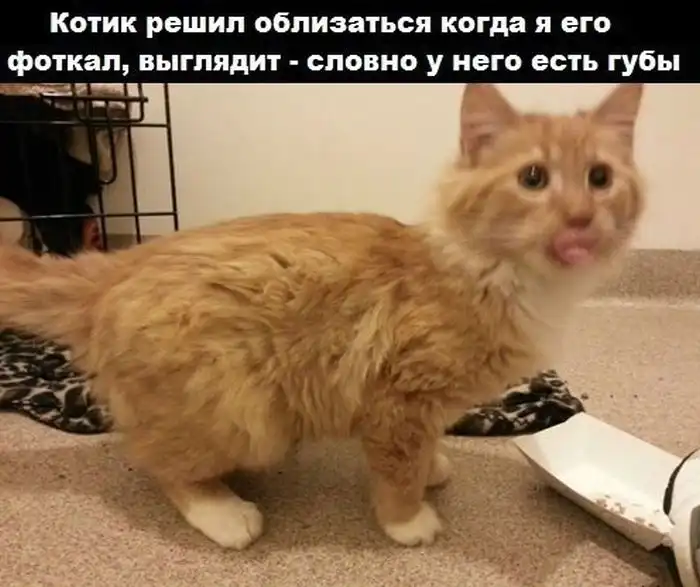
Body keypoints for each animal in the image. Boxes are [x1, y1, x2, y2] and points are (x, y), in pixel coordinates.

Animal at [0, 83, 645, 549]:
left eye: (600, 178)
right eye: (533, 178)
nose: (580, 216)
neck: (496, 276)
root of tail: (114, 267)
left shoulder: (424, 404)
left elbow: (425, 447)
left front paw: (434, 465)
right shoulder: (399, 400)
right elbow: (397, 469)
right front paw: (408, 519)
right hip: (237, 411)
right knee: (160, 464)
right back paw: (224, 514)